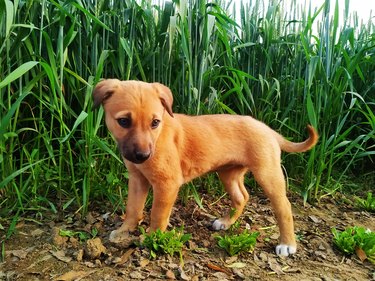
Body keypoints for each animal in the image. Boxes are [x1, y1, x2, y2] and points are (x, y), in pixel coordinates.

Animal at [92, 77, 318, 255]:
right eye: (123, 121)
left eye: (155, 122)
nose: (143, 156)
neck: (159, 136)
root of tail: (268, 130)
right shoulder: (137, 179)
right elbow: (132, 208)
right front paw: (124, 231)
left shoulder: (167, 184)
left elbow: (157, 215)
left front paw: (152, 239)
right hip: (228, 173)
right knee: (241, 196)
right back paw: (226, 222)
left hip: (267, 174)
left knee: (284, 206)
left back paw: (287, 244)